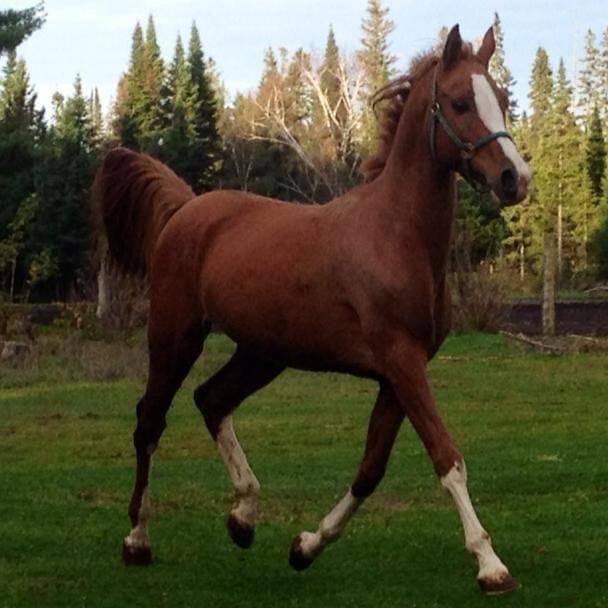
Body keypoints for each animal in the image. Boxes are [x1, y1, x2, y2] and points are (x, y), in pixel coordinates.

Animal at [92, 25, 528, 592]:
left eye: (501, 100)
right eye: (459, 102)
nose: (515, 178)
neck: (394, 236)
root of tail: (186, 208)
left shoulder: (396, 376)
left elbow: (370, 470)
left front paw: (304, 546)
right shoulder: (403, 363)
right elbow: (447, 459)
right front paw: (490, 563)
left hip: (262, 353)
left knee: (211, 400)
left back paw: (243, 517)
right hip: (174, 336)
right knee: (150, 420)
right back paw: (138, 539)